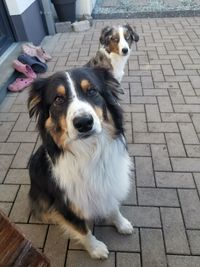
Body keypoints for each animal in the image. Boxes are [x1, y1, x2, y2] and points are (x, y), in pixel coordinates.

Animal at [27, 66, 133, 260]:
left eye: (92, 91)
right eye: (58, 99)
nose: (84, 123)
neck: (89, 153)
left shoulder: (109, 184)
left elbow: (113, 206)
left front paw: (121, 223)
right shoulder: (66, 203)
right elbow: (82, 230)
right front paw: (96, 248)